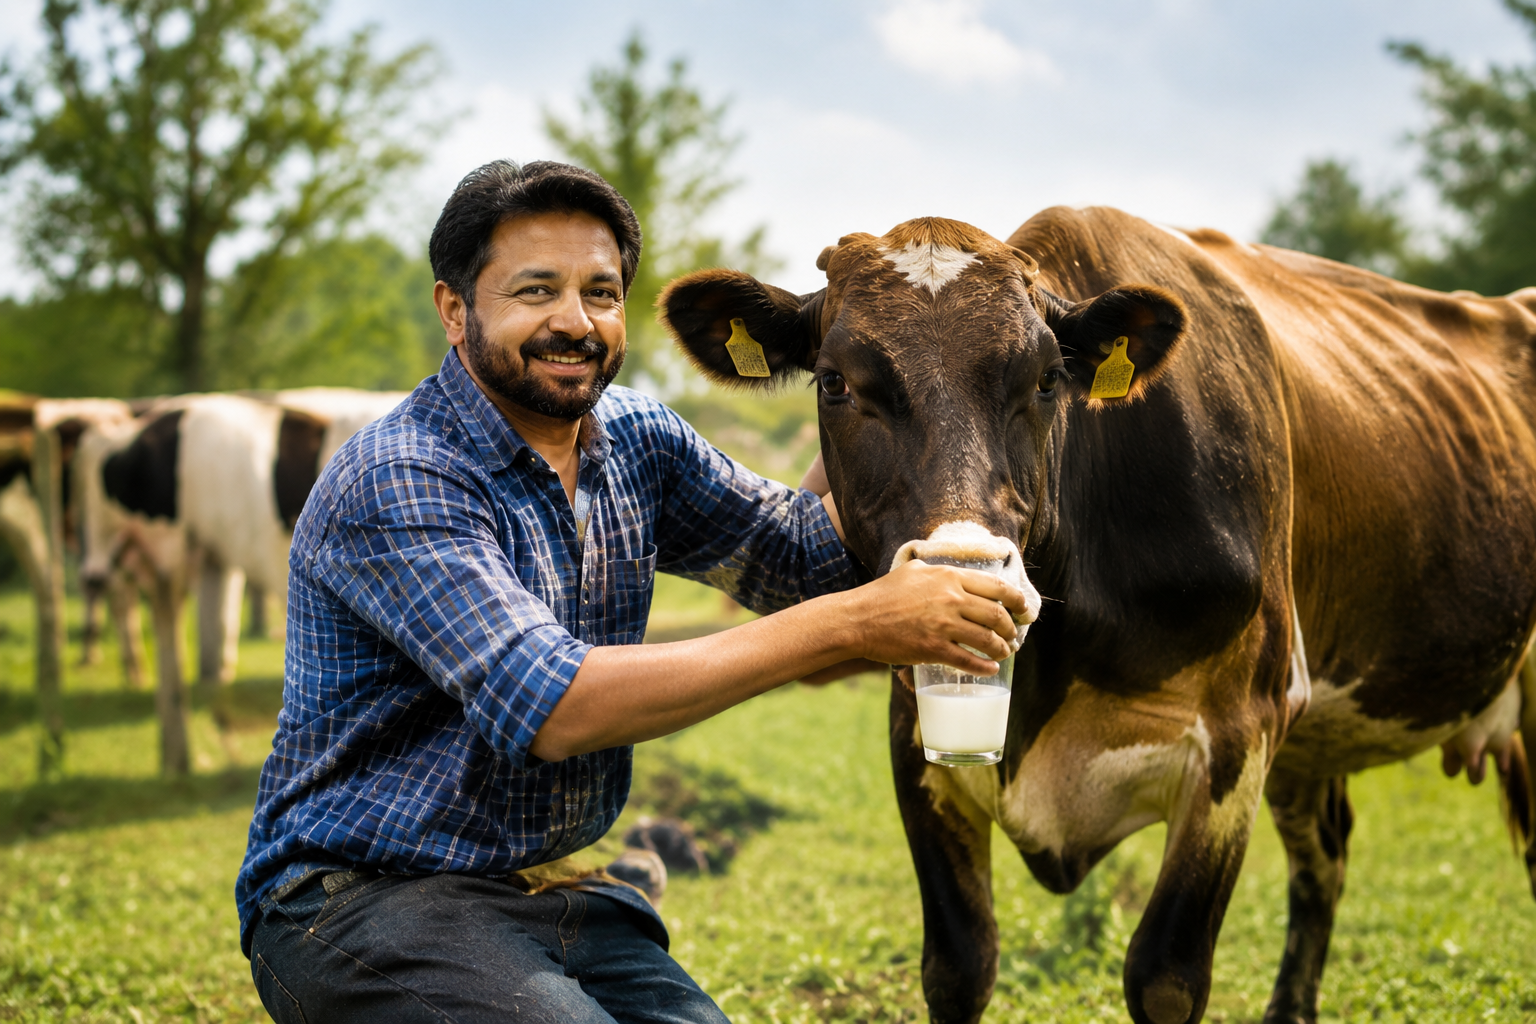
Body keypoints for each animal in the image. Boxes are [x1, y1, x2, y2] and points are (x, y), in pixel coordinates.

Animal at [658, 207, 1536, 1024]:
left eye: (1048, 379)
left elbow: (1166, 977)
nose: (966, 579)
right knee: (1324, 859)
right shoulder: (917, 738)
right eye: (835, 381)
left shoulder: (1240, 732)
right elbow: (959, 966)